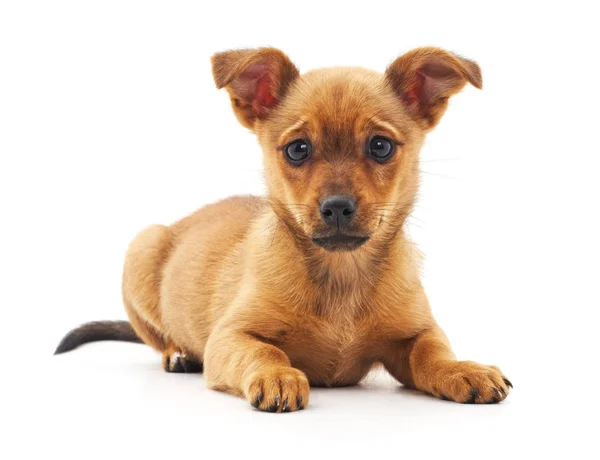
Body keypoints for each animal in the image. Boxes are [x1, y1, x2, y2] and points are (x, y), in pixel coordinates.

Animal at [57, 47, 510, 414]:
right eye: (298, 149)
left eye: (380, 146)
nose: (337, 207)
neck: (341, 275)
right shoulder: (231, 337)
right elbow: (265, 353)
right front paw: (278, 376)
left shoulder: (416, 333)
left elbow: (433, 354)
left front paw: (464, 369)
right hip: (143, 244)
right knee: (159, 337)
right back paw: (179, 354)